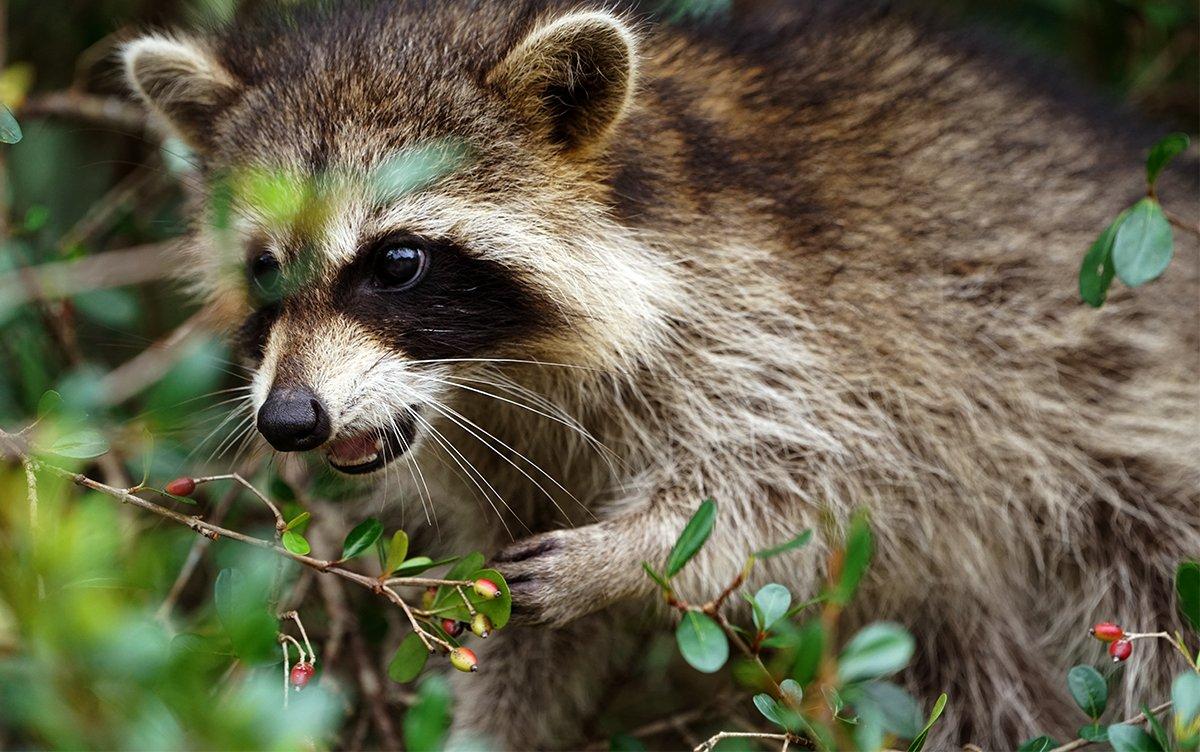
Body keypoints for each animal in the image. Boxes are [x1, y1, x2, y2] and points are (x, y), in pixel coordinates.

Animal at [122, 0, 1199, 747]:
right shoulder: (508, 456)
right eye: (267, 269)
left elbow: (817, 481)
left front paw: (628, 552)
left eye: (397, 263)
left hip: (1122, 430)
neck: (495, 369)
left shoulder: (810, 327)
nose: (289, 419)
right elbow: (525, 640)